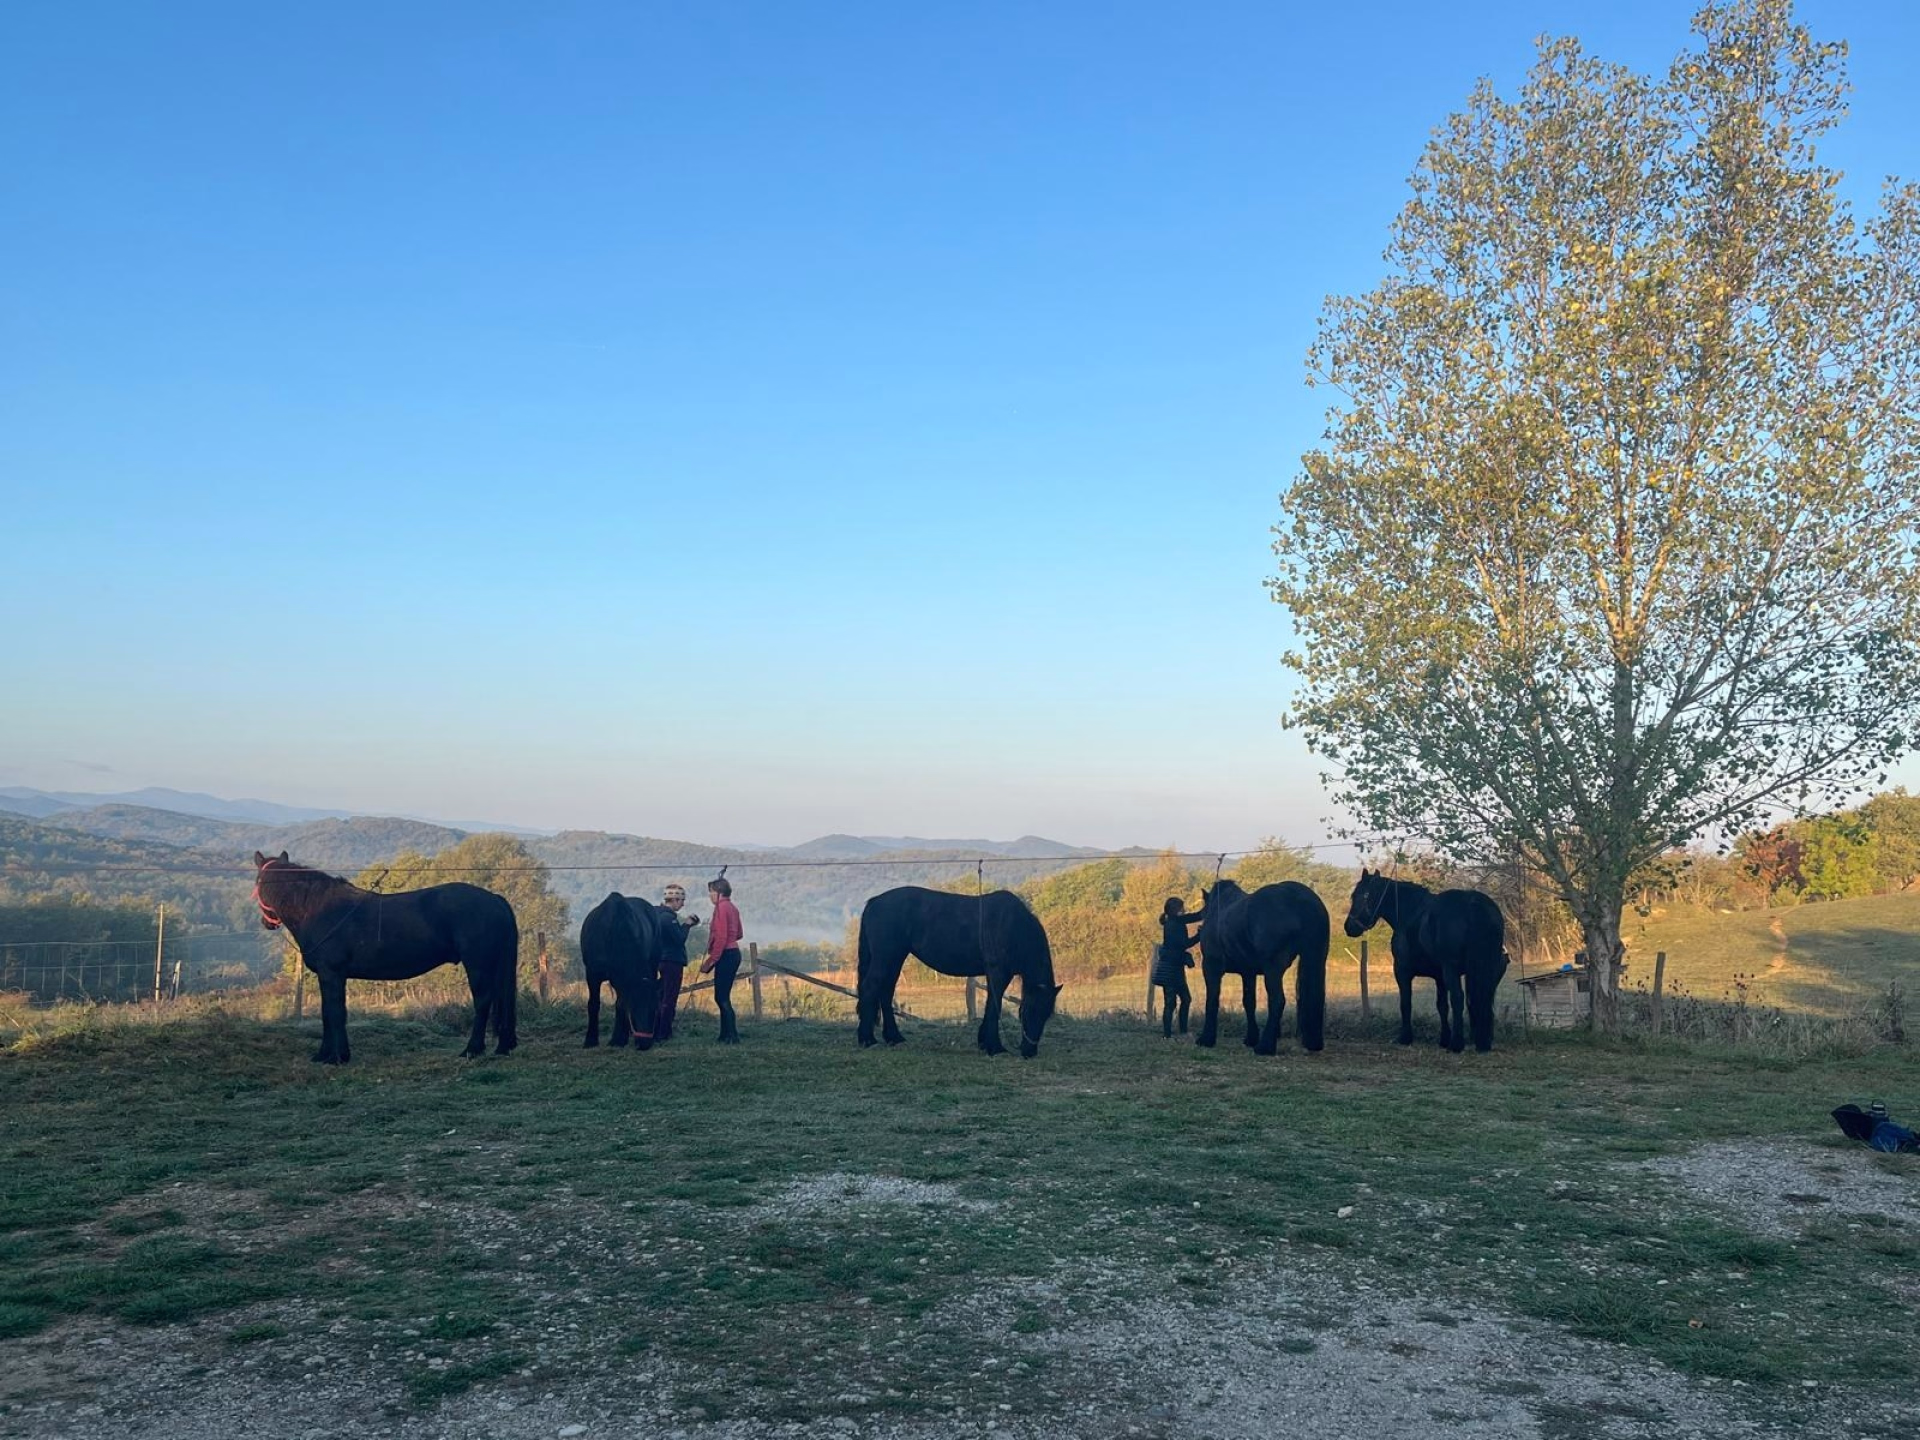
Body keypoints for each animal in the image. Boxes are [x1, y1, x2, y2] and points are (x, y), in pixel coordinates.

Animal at [252, 850, 519, 1065]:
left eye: (257, 882)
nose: (267, 923)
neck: (319, 909)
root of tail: (495, 899)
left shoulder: (331, 974)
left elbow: (334, 1013)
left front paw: (335, 1057)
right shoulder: (333, 976)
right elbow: (330, 1013)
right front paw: (328, 1055)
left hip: (478, 965)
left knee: (483, 1001)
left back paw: (471, 1050)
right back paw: (502, 1046)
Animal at [580, 892, 666, 1050]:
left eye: (655, 1010)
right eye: (634, 1009)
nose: (645, 1044)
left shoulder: (621, 979)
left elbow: (620, 1004)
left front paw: (618, 1039)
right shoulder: (592, 974)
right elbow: (594, 1003)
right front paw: (590, 1040)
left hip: (653, 963)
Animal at [855, 886, 1062, 1057]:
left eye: (1046, 1014)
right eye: (1029, 1011)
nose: (1029, 1052)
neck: (1015, 928)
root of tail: (874, 901)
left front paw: (984, 1042)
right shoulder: (998, 974)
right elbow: (994, 1006)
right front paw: (994, 1047)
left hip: (895, 958)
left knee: (885, 992)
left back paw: (894, 1038)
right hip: (886, 958)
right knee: (870, 989)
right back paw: (867, 1039)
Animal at [1192, 879, 1329, 1055]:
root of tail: (1300, 897)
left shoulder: (1211, 966)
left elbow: (1212, 999)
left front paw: (1206, 1039)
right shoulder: (1248, 972)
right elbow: (1249, 1002)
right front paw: (1250, 1038)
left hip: (1273, 969)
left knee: (1277, 1000)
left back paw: (1265, 1046)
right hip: (1316, 958)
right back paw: (1312, 1043)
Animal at [1342, 868, 1509, 1053]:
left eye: (1362, 895)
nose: (1349, 927)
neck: (1410, 913)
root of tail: (1475, 904)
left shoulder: (1402, 971)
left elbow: (1406, 1002)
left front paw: (1405, 1037)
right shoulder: (1439, 977)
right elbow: (1442, 1006)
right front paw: (1444, 1039)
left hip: (1452, 970)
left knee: (1458, 998)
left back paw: (1457, 1044)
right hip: (1487, 969)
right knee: (1484, 999)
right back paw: (1482, 1042)